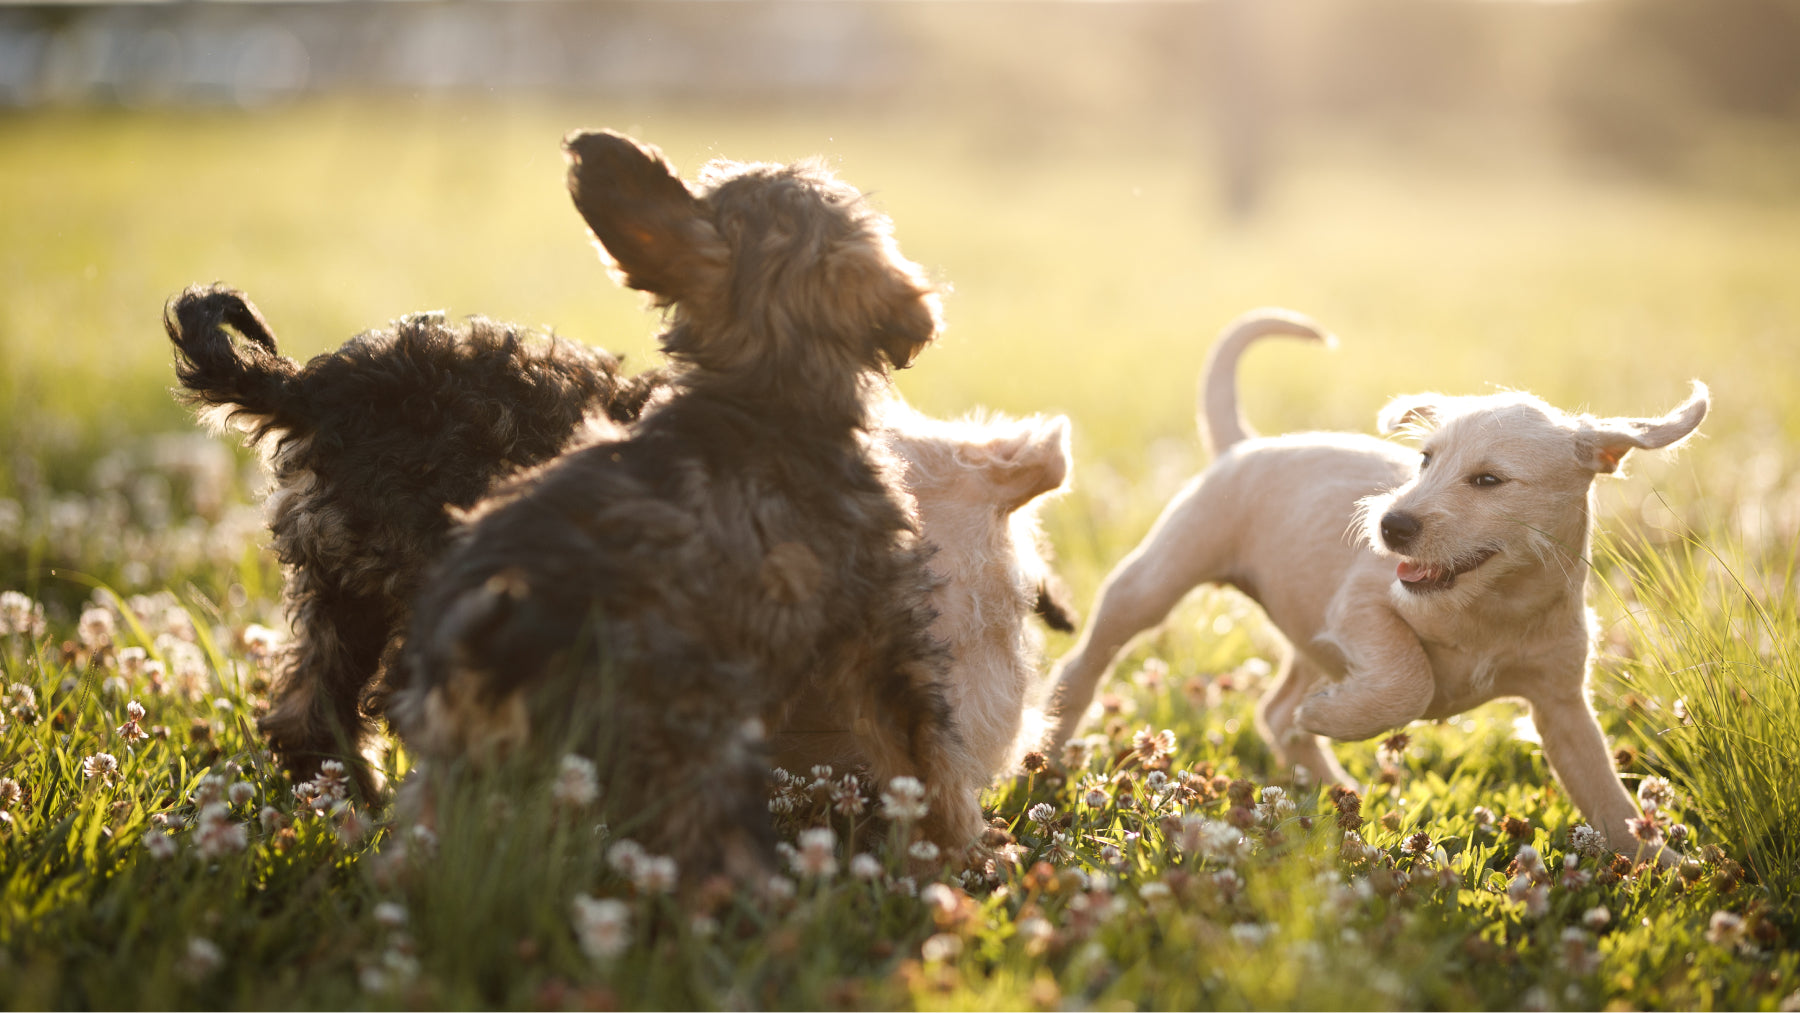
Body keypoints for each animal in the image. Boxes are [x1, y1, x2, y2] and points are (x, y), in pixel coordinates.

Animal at [1044, 307, 1699, 856]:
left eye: (1489, 480)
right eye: (1425, 460)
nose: (1391, 525)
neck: (1493, 605)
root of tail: (1244, 444)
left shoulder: (1561, 703)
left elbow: (1608, 796)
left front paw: (1662, 863)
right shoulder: (1364, 606)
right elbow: (1409, 682)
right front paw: (1332, 716)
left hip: (1309, 634)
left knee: (1275, 713)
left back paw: (1335, 791)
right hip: (1155, 579)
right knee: (1083, 667)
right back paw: (1050, 757)